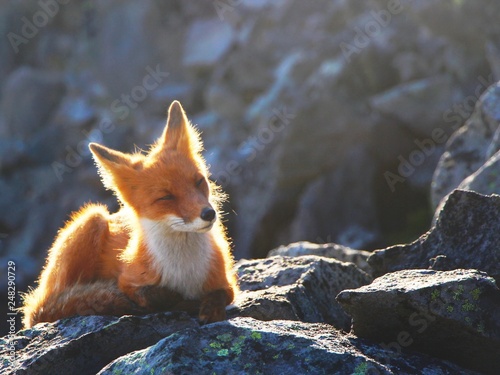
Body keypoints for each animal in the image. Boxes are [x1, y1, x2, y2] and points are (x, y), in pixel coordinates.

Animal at [21, 100, 236, 328]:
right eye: (166, 197)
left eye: (199, 181)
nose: (209, 214)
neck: (184, 270)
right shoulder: (129, 280)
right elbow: (153, 296)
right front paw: (181, 302)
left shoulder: (227, 281)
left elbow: (222, 294)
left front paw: (210, 309)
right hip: (93, 219)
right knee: (47, 308)